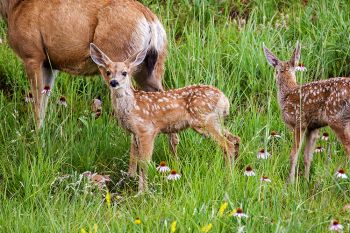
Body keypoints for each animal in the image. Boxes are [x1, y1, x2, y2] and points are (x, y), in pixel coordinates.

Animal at [264, 41, 350, 184]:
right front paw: (306, 181)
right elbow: (307, 157)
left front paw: (290, 182)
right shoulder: (313, 128)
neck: (286, 94)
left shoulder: (299, 123)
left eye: (276, 71)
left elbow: (294, 154)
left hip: (337, 119)